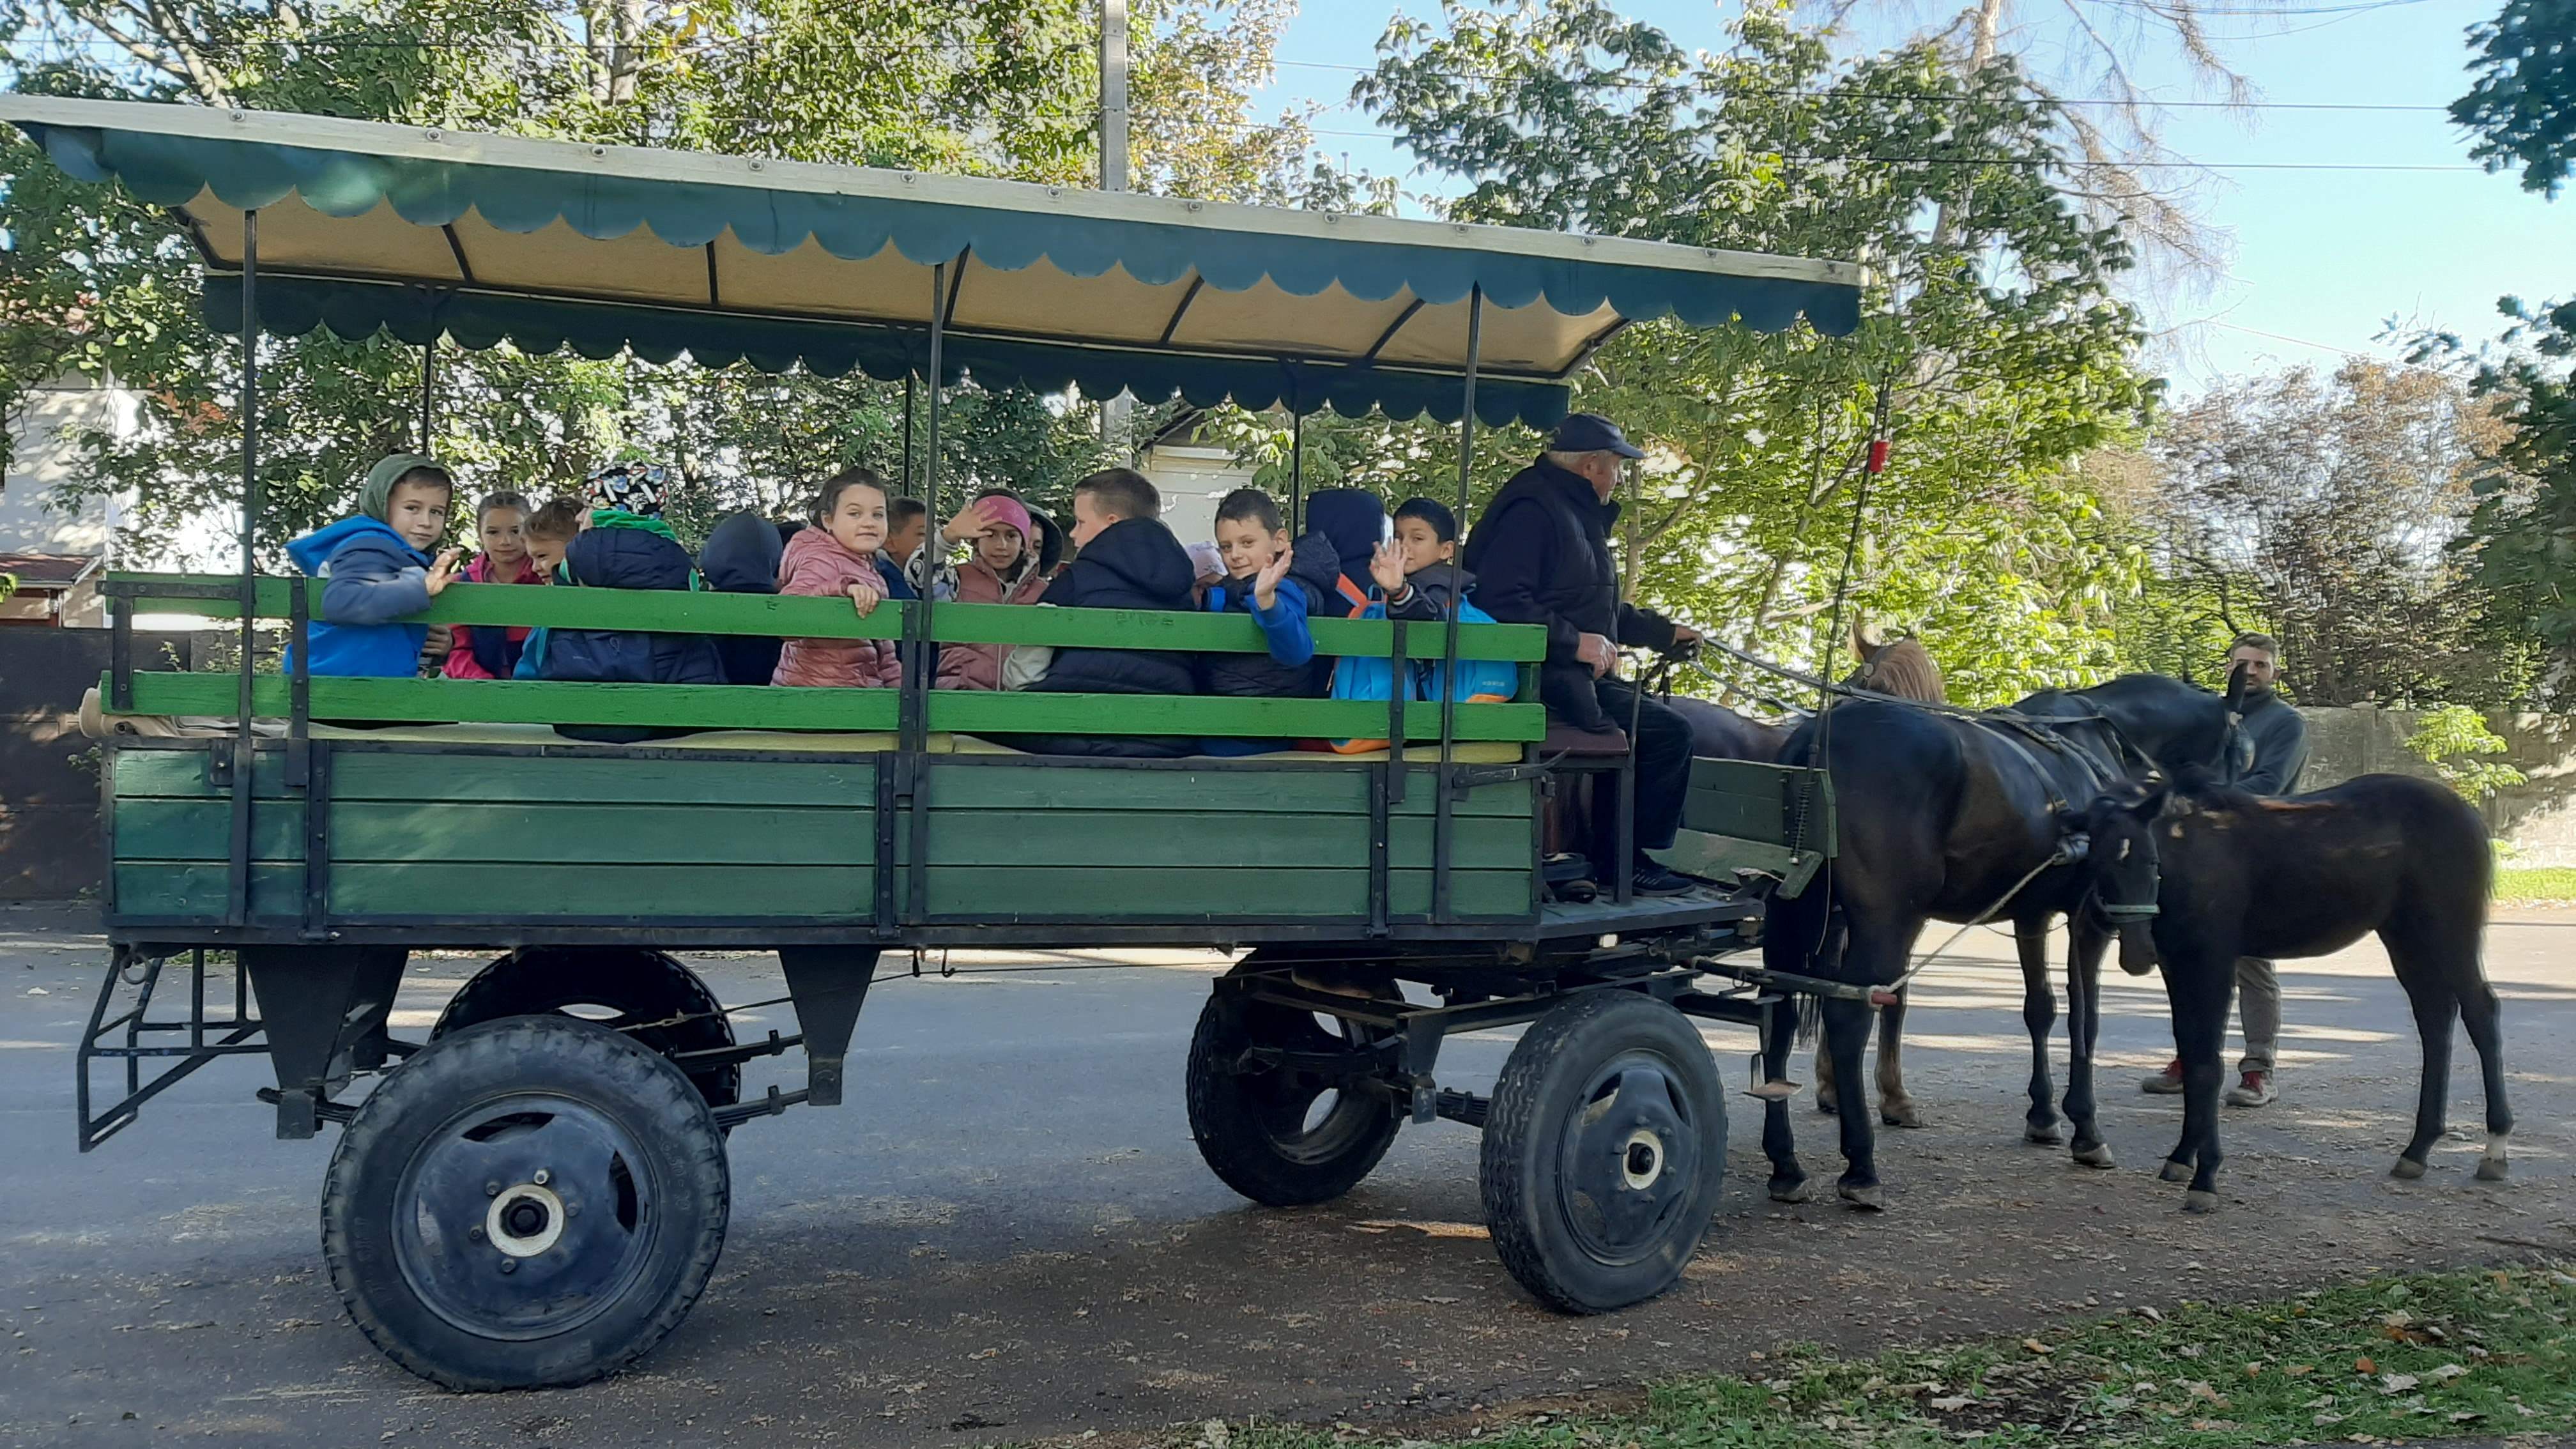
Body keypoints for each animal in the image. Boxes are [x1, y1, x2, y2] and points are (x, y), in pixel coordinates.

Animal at [1755, 674, 2242, 1209]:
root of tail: (1813, 738)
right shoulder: (2087, 916)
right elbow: (2085, 1019)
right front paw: (2086, 1128)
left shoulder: (2031, 913)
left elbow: (2040, 1009)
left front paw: (2044, 1114)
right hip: (1884, 920)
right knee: (1848, 1017)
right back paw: (1861, 1165)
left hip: (1796, 920)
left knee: (1776, 1013)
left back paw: (1786, 1163)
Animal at [2069, 770, 2508, 1211]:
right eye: (2099, 863)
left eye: (2151, 860)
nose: (2138, 954)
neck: (2191, 845)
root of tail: (2467, 813)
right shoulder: (2178, 967)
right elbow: (2192, 1055)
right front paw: (2182, 1158)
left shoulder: (2213, 961)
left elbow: (2208, 1065)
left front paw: (2205, 1178)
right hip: (2405, 937)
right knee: (2435, 1017)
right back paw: (2417, 1150)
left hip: (2450, 934)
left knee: (2481, 1013)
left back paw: (2495, 1151)